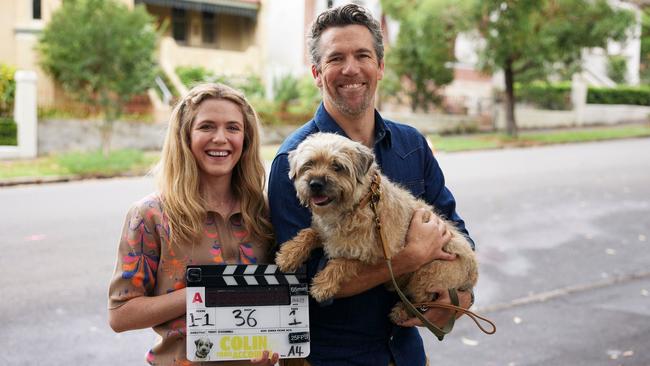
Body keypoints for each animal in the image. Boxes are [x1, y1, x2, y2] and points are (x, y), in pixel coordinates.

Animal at [274, 133, 476, 322]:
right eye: (308, 164)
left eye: (337, 167)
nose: (315, 184)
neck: (359, 204)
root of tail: (473, 274)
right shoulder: (325, 232)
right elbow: (308, 233)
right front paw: (289, 254)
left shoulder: (373, 254)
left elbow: (342, 262)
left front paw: (323, 284)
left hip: (428, 272)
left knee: (423, 299)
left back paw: (403, 311)